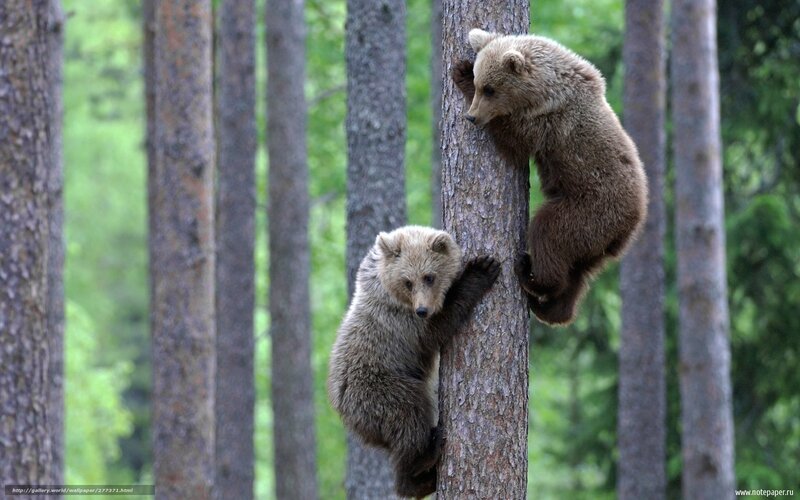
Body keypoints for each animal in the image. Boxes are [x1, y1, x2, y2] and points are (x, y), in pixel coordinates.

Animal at [327, 225, 500, 498]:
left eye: (429, 277)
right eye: (407, 281)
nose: (422, 309)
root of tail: (341, 407)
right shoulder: (402, 323)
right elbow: (438, 327)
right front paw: (481, 269)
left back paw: (424, 478)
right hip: (379, 388)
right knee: (409, 413)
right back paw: (424, 457)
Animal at [452, 28, 648, 326]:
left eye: (489, 88)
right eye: (481, 82)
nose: (472, 117)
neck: (545, 90)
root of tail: (631, 224)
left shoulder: (548, 124)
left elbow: (514, 144)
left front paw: (460, 72)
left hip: (589, 211)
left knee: (549, 234)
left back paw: (530, 275)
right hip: (595, 242)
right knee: (578, 273)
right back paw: (551, 308)